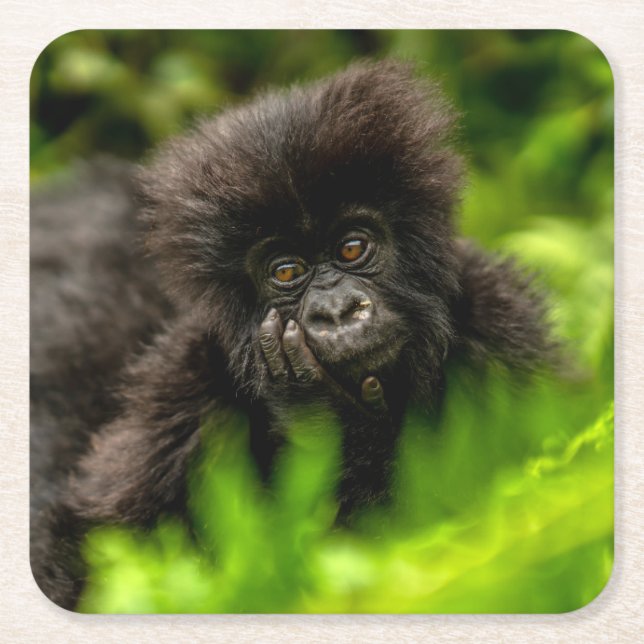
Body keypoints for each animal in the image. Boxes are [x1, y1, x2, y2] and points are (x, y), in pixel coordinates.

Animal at [30, 60, 553, 609]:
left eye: (351, 248)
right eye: (286, 272)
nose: (337, 312)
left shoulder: (504, 326)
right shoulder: (184, 386)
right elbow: (93, 545)